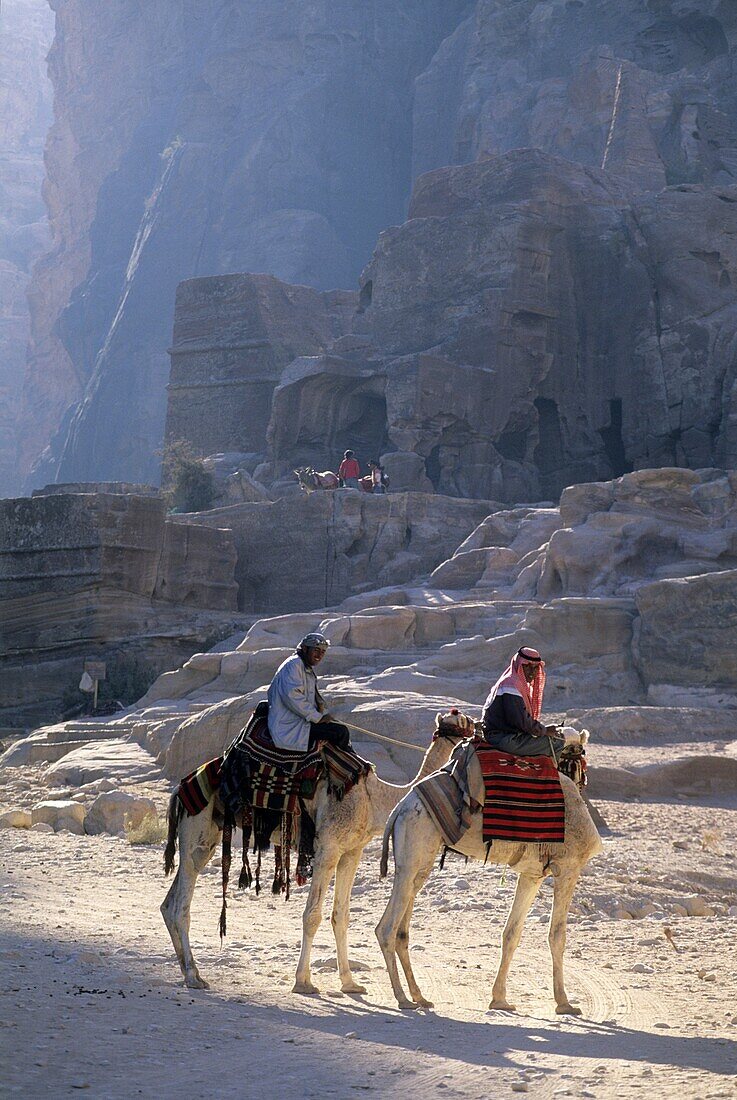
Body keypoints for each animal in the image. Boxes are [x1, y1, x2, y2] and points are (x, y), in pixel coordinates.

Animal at [378, 730, 602, 1012]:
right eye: (582, 755)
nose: (584, 779)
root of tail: (398, 810)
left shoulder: (532, 875)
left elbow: (512, 932)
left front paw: (500, 999)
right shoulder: (569, 868)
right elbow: (557, 935)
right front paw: (564, 1002)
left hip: (418, 862)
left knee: (401, 928)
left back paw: (419, 996)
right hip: (413, 851)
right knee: (386, 929)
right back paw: (402, 998)